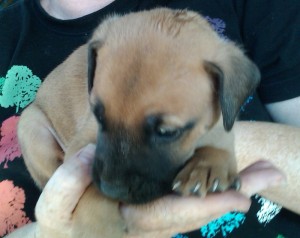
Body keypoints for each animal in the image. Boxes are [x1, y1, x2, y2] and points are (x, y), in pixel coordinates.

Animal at [17, 8, 260, 237]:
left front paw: (209, 164)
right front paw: (96, 228)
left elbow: (221, 137)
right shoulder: (82, 143)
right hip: (29, 125)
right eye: (98, 116)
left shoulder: (220, 117)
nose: (111, 189)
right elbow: (88, 185)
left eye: (166, 132)